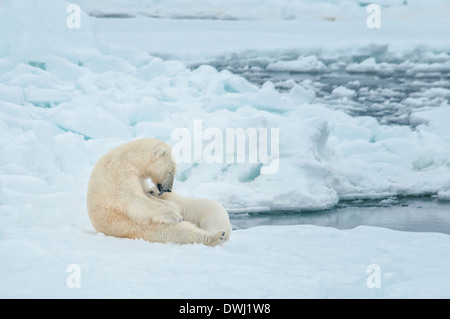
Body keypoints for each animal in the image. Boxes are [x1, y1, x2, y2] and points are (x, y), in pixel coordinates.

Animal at [87, 139, 229, 246]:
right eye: (171, 171)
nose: (169, 189)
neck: (128, 160)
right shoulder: (118, 176)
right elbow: (134, 201)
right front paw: (176, 216)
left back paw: (218, 235)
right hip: (139, 227)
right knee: (179, 231)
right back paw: (216, 237)